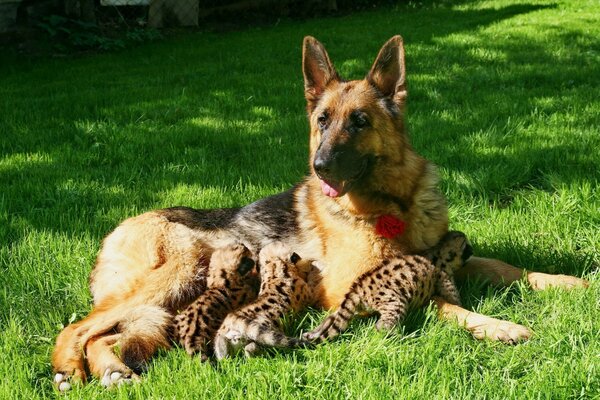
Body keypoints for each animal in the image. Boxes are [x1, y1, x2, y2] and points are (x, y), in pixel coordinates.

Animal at [50, 35, 584, 390]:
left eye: (360, 121)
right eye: (322, 121)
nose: (320, 166)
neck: (393, 204)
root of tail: (116, 229)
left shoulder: (447, 256)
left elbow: (507, 266)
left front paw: (566, 282)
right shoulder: (361, 282)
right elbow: (442, 303)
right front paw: (499, 326)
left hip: (170, 299)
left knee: (107, 333)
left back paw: (112, 369)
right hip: (177, 272)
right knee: (77, 328)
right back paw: (70, 370)